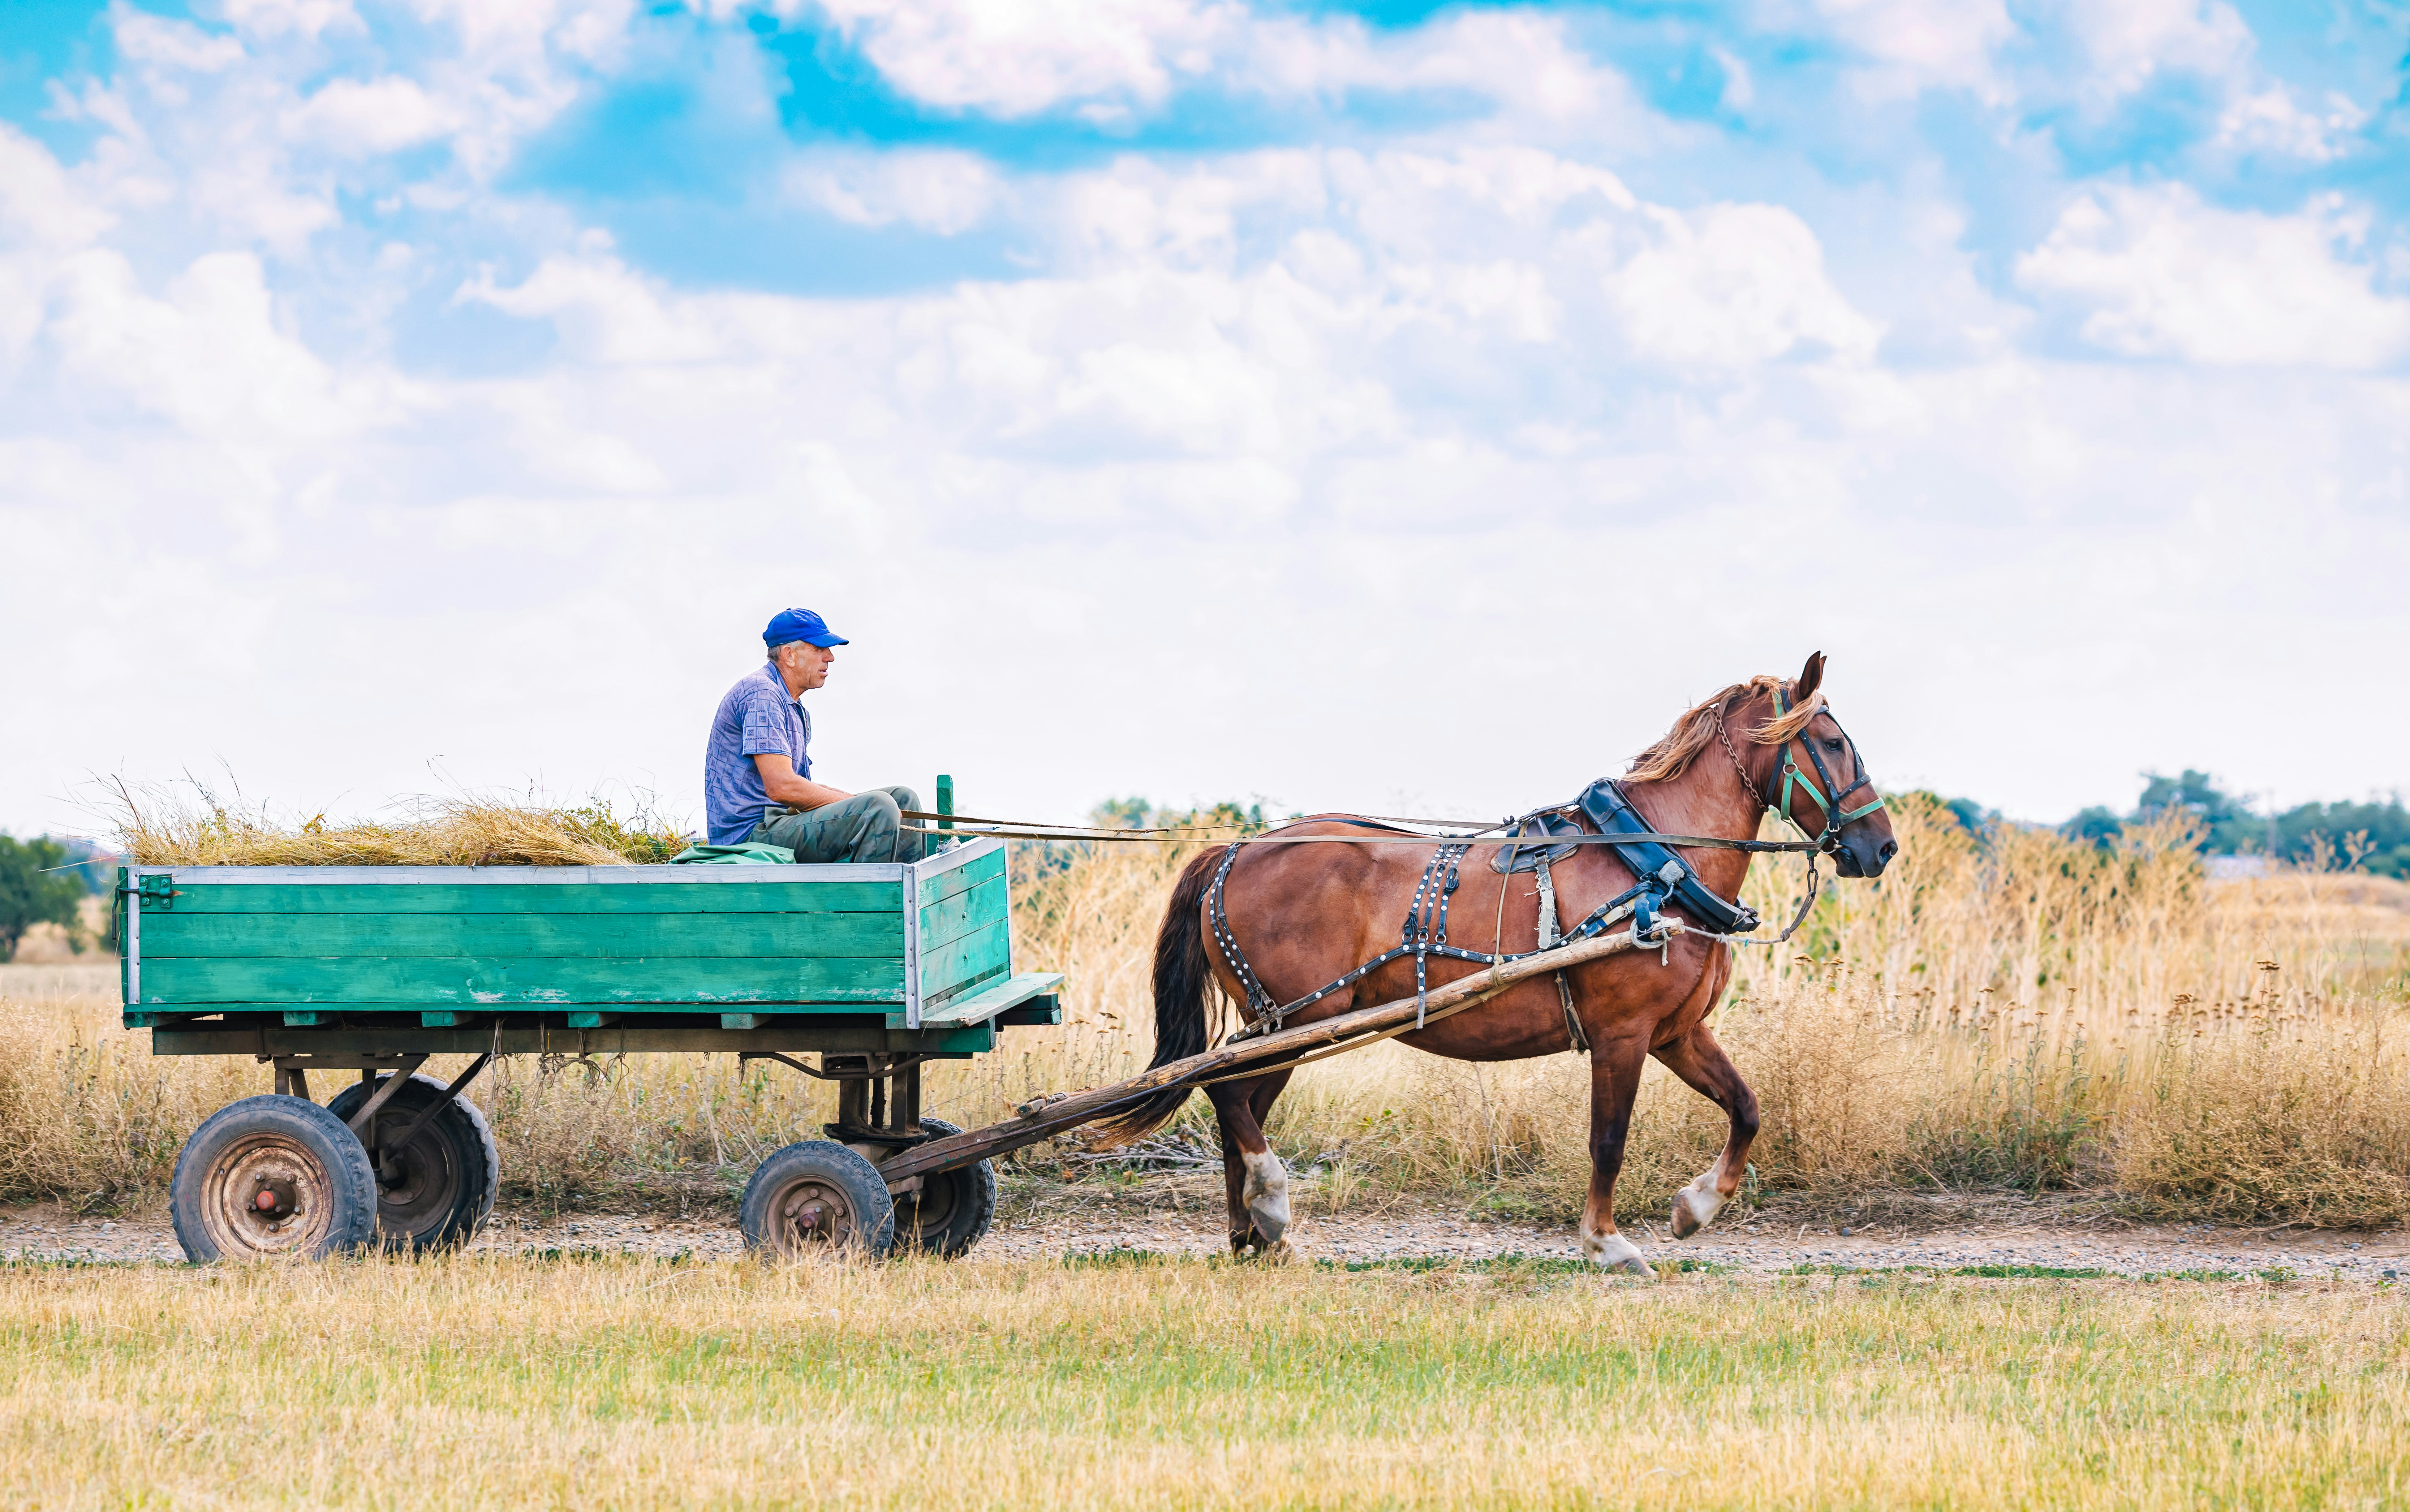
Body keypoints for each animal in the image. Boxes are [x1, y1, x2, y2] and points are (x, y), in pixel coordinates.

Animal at [1098, 653, 1897, 1275]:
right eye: (1831, 742)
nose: (1880, 847)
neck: (1655, 861)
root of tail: (1234, 851)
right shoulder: (1621, 1034)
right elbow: (1608, 1140)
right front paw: (1606, 1243)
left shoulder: (1675, 1033)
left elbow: (1746, 1109)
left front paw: (1693, 1208)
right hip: (1300, 1016)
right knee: (1227, 1093)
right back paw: (1268, 1202)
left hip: (1286, 1024)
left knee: (1236, 1106)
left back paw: (1253, 1233)